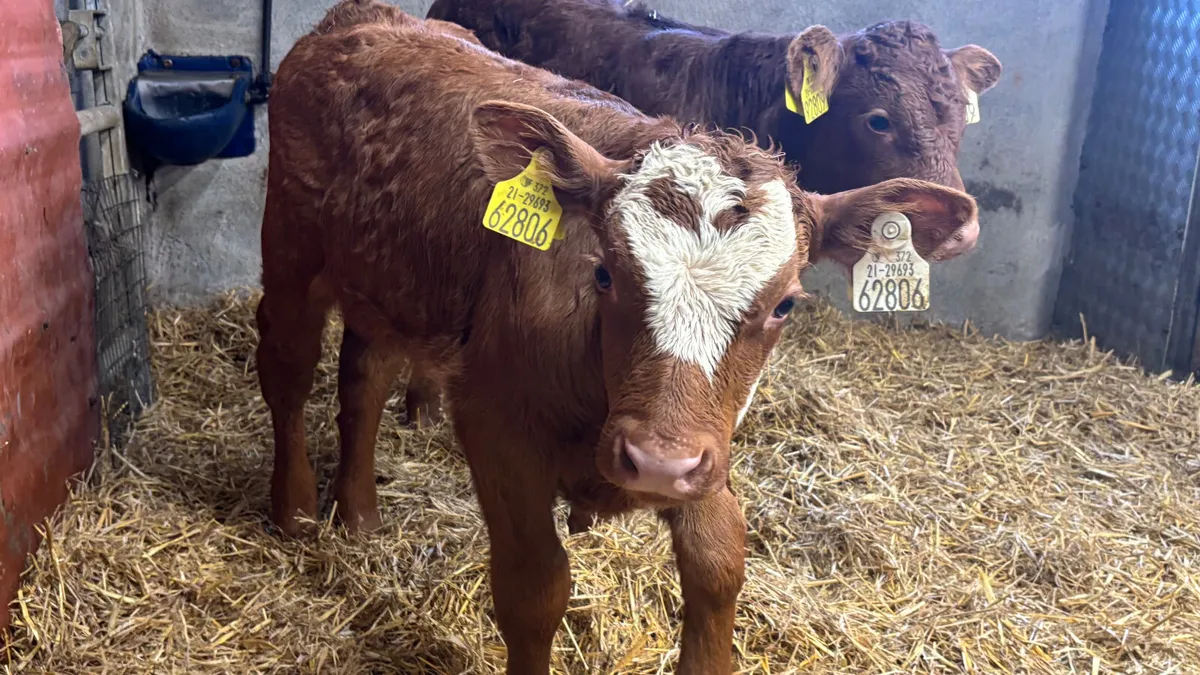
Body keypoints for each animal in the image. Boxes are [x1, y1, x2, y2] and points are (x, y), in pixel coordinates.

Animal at [259, 2, 980, 672]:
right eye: (603, 271)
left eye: (785, 304)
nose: (658, 462)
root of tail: (364, 17)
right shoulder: (496, 424)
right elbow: (535, 588)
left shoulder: (705, 445)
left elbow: (719, 562)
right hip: (291, 248)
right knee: (288, 370)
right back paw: (295, 509)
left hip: (385, 276)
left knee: (364, 378)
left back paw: (358, 515)